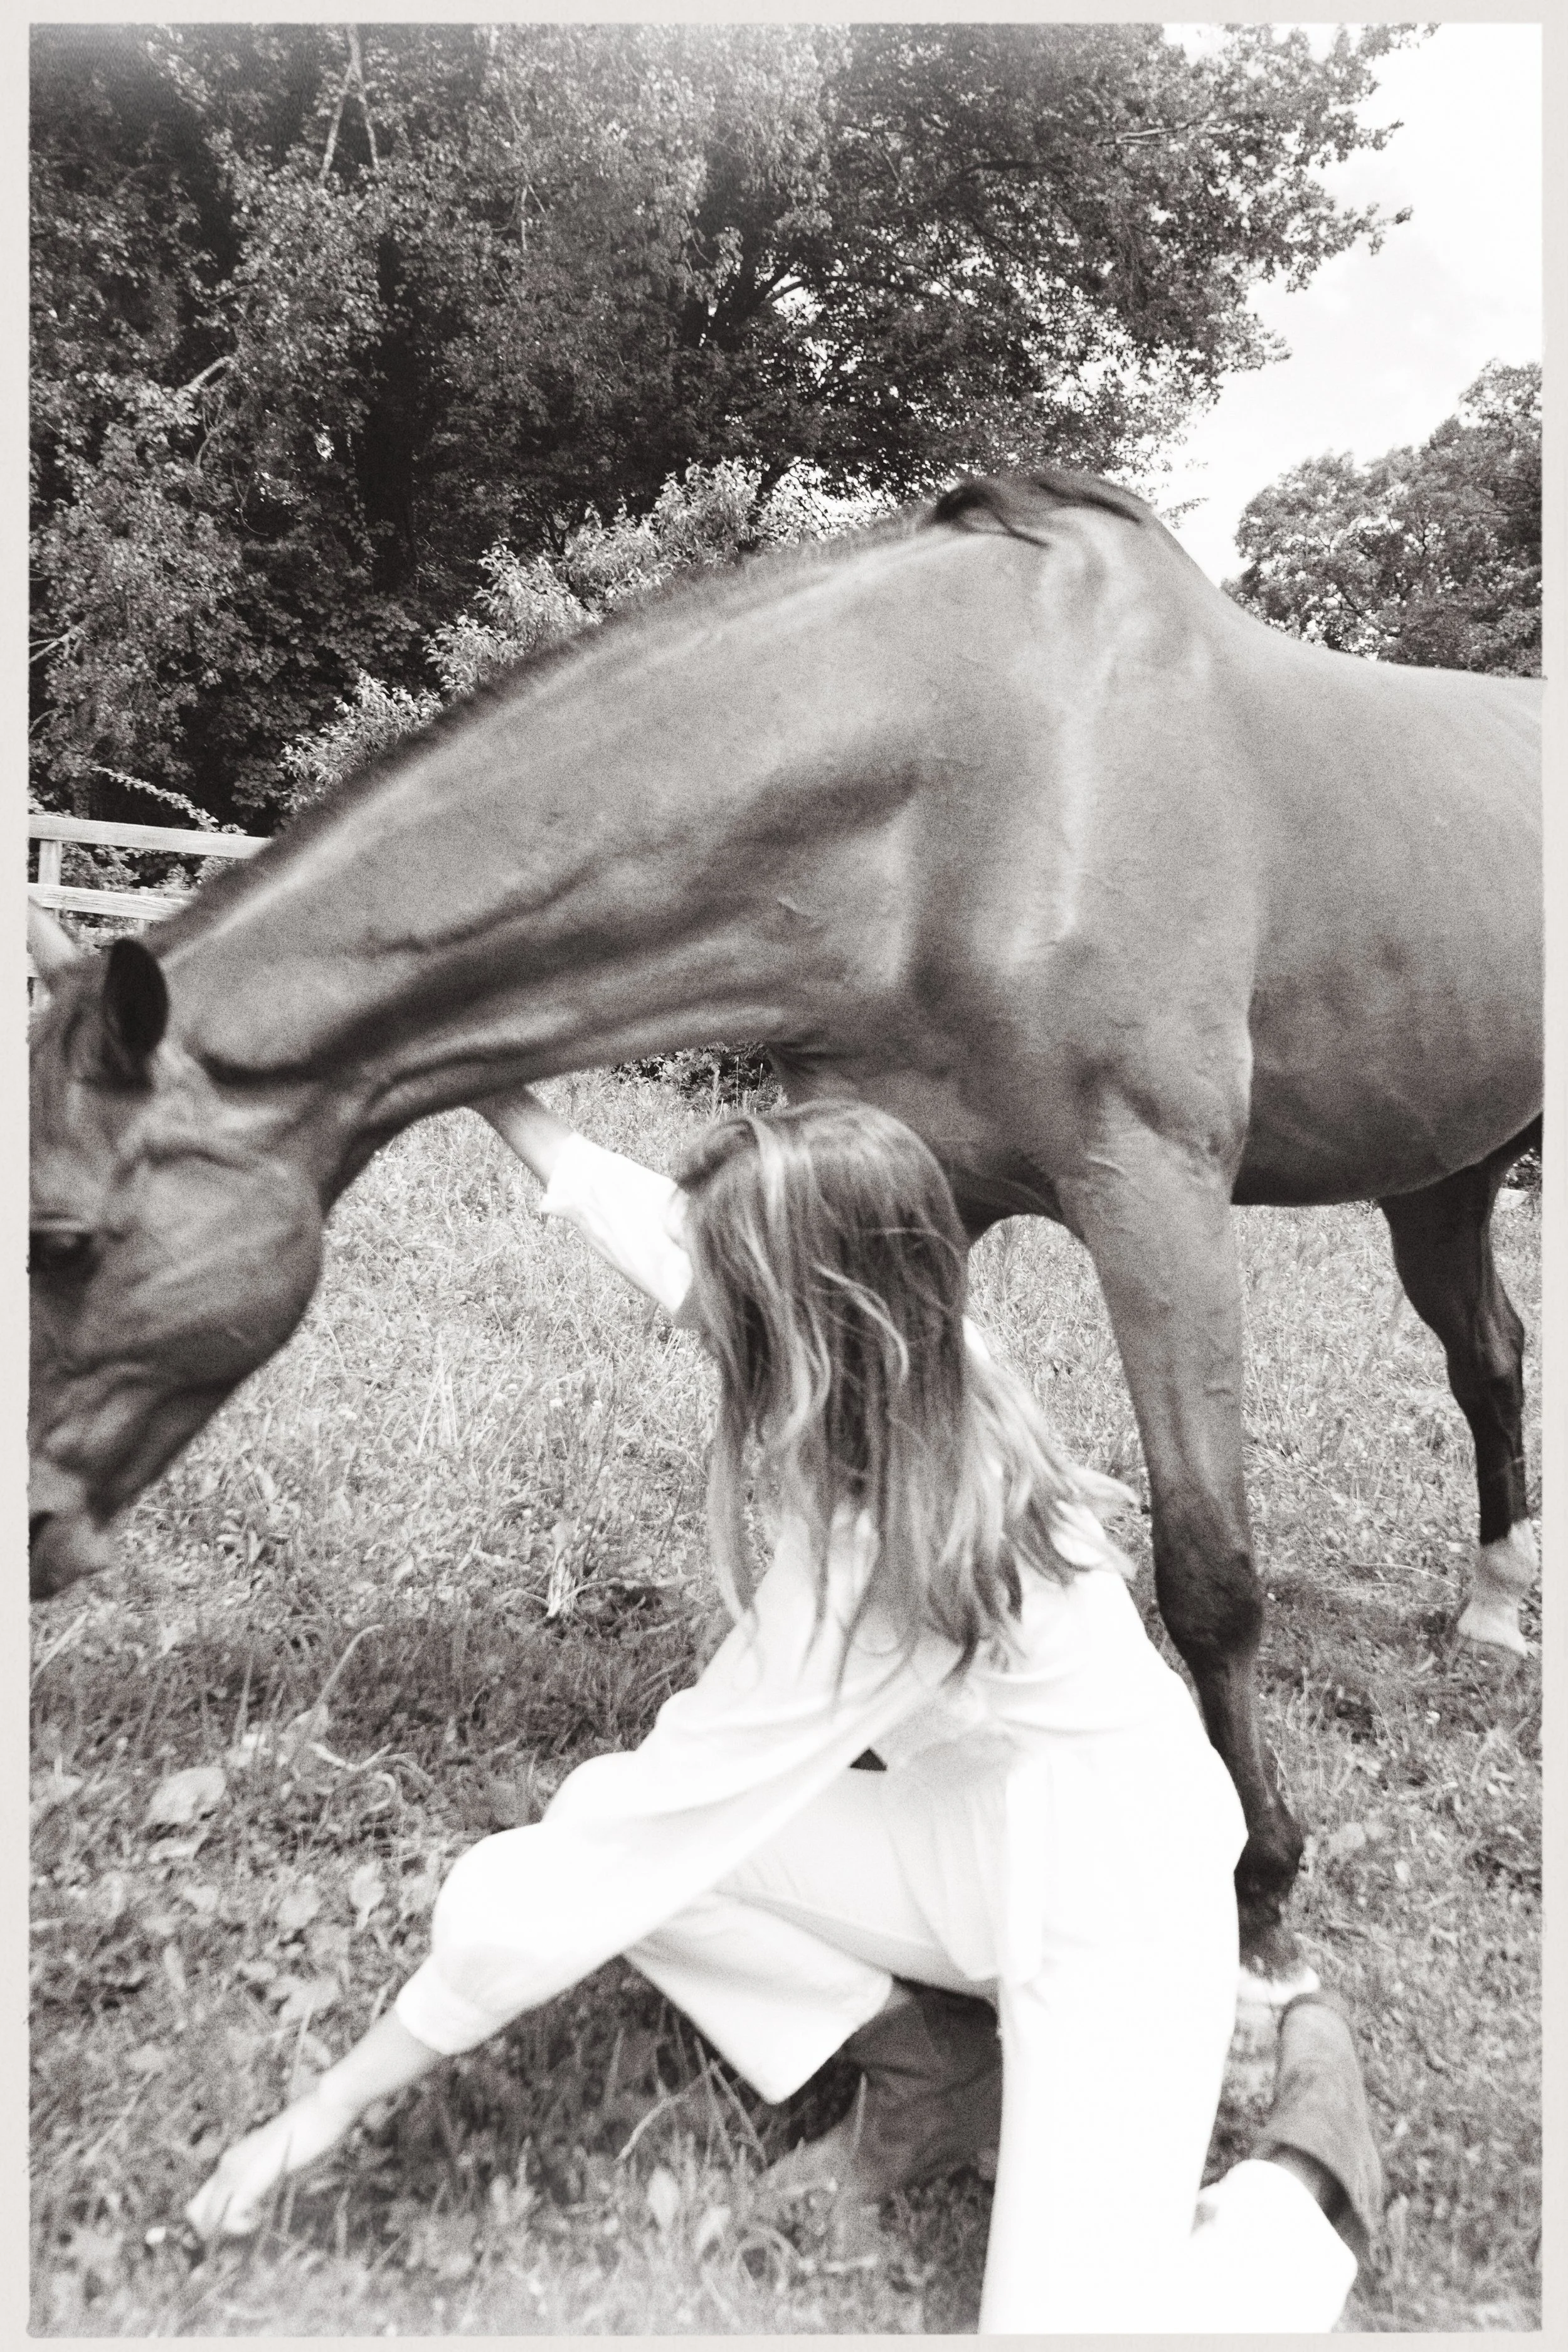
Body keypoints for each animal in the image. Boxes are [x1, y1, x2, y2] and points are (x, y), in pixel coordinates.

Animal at [28, 467, 1541, 1961]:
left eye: (64, 1241)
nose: (24, 1535)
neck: (971, 796)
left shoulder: (1157, 1196)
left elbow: (1210, 1572)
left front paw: (1258, 1884)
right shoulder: (919, 1195)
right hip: (1442, 1174)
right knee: (1490, 1356)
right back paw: (1492, 1604)